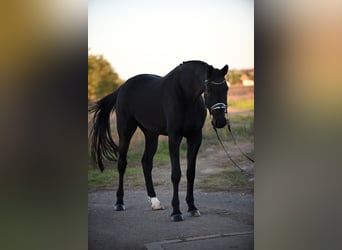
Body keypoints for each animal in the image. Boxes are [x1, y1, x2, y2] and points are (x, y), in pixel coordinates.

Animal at [89, 60, 228, 221]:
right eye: (209, 89)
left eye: (226, 88)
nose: (220, 121)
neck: (184, 95)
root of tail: (122, 87)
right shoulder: (174, 137)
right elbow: (176, 174)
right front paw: (176, 212)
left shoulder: (195, 137)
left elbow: (190, 173)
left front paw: (192, 208)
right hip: (125, 131)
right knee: (122, 164)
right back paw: (119, 202)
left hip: (151, 134)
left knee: (146, 162)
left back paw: (155, 202)